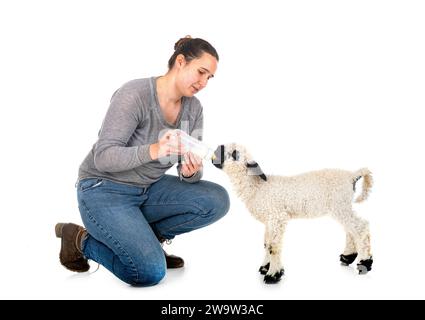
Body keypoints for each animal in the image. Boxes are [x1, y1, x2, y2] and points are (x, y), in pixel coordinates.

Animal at [210, 144, 372, 284]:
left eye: (235, 154)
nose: (218, 148)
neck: (257, 187)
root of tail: (351, 176)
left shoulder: (277, 217)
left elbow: (273, 246)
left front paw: (273, 275)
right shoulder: (269, 221)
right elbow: (266, 244)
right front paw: (265, 267)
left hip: (340, 205)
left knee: (360, 227)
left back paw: (365, 262)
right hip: (341, 206)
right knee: (351, 229)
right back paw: (348, 257)